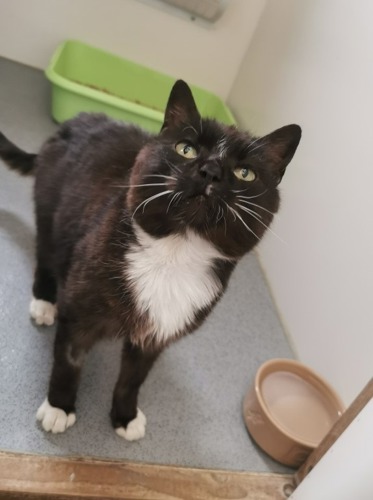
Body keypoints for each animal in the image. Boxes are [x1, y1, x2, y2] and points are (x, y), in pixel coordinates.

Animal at [0, 81, 300, 442]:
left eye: (245, 173)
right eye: (186, 149)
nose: (211, 171)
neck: (174, 253)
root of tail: (73, 122)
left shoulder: (158, 333)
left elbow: (133, 379)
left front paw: (125, 416)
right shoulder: (80, 311)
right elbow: (68, 362)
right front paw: (59, 407)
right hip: (50, 209)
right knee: (46, 252)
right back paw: (44, 302)